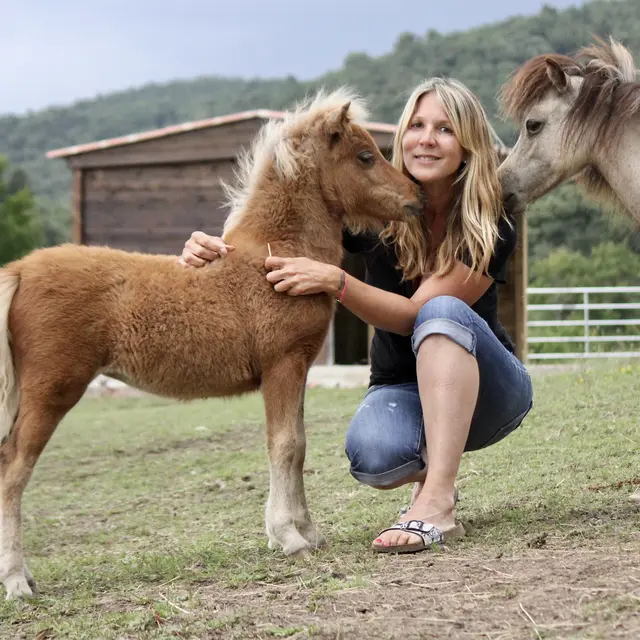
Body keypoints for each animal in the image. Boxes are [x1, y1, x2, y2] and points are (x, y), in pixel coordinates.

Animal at [0, 88, 423, 600]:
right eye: (365, 156)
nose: (417, 198)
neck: (273, 256)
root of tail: (20, 270)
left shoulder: (298, 369)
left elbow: (298, 445)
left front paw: (309, 532)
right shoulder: (282, 365)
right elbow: (284, 446)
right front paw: (289, 537)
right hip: (51, 390)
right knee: (13, 470)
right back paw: (16, 580)